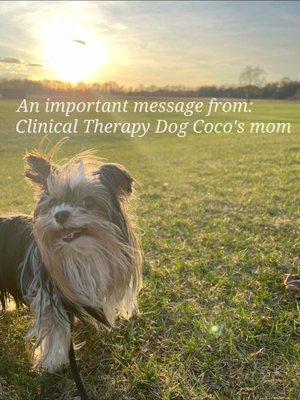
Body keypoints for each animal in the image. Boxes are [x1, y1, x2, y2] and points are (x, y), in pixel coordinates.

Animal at [0, 145, 142, 398]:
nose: (60, 214)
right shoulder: (49, 296)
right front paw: (53, 362)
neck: (76, 252)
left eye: (88, 203)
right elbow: (54, 329)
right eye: (54, 202)